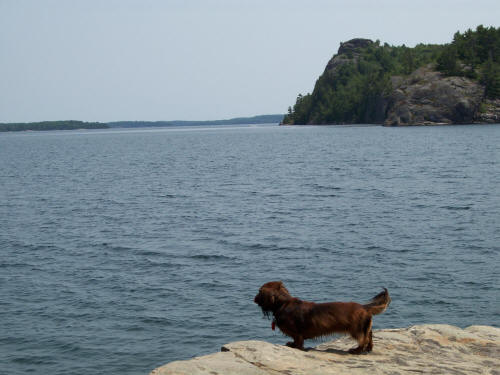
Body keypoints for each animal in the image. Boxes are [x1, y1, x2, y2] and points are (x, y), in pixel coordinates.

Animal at [254, 284, 390, 354]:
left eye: (259, 291)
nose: (254, 299)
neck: (284, 303)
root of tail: (364, 307)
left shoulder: (297, 333)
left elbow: (298, 341)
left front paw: (295, 346)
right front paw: (291, 344)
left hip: (356, 329)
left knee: (363, 339)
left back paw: (356, 350)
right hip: (364, 327)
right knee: (369, 336)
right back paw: (368, 349)